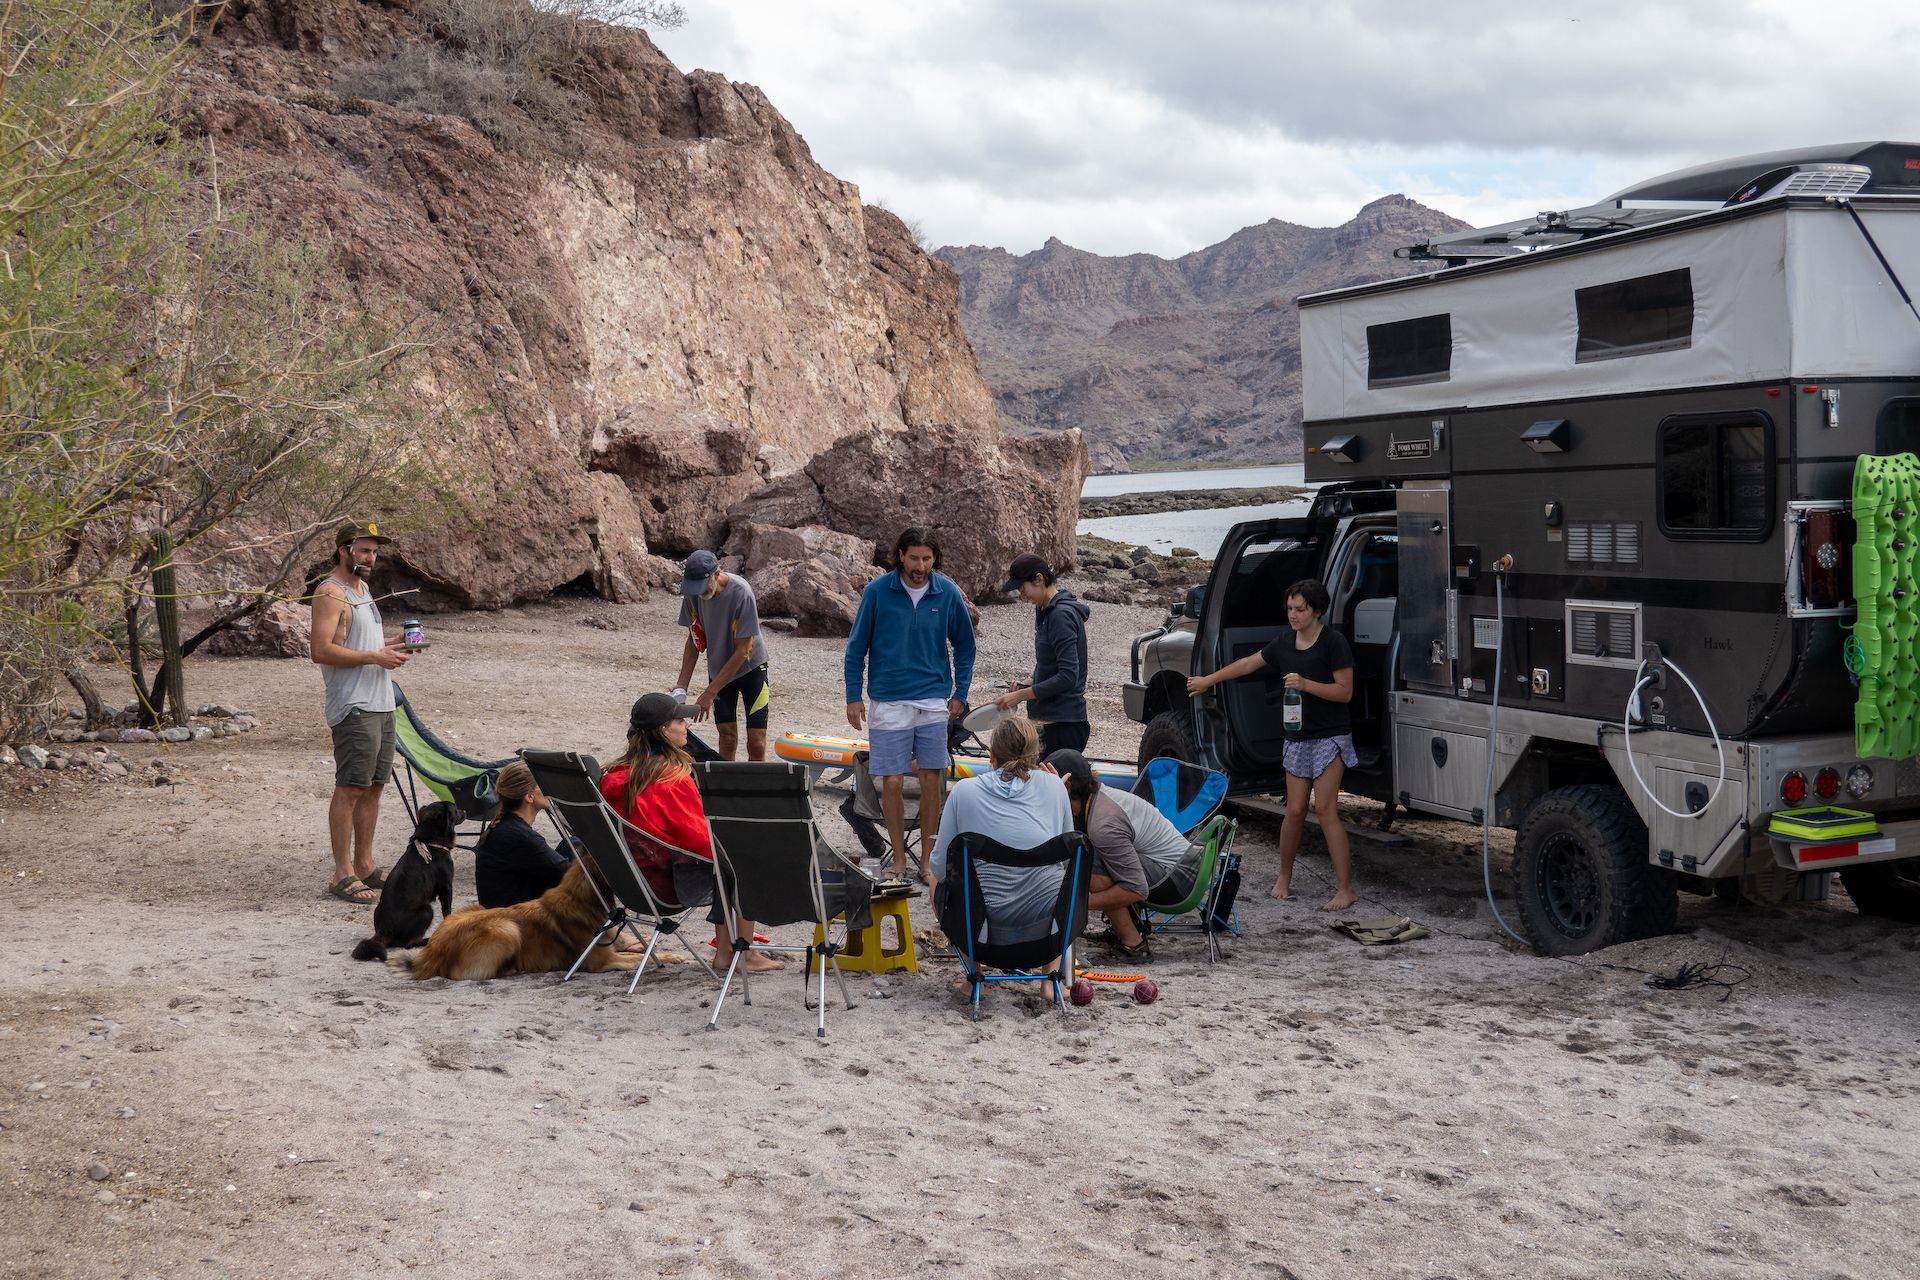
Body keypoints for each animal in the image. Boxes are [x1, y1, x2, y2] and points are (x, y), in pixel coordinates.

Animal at [351, 802, 458, 959]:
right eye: (455, 810)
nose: (464, 810)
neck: (428, 843)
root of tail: (384, 931)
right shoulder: (446, 887)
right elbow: (447, 911)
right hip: (427, 911)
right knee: (408, 943)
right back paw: (426, 940)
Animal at [408, 859, 641, 982]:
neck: (579, 899)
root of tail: (432, 951)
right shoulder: (602, 961)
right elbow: (638, 960)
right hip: (506, 928)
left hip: (474, 908)